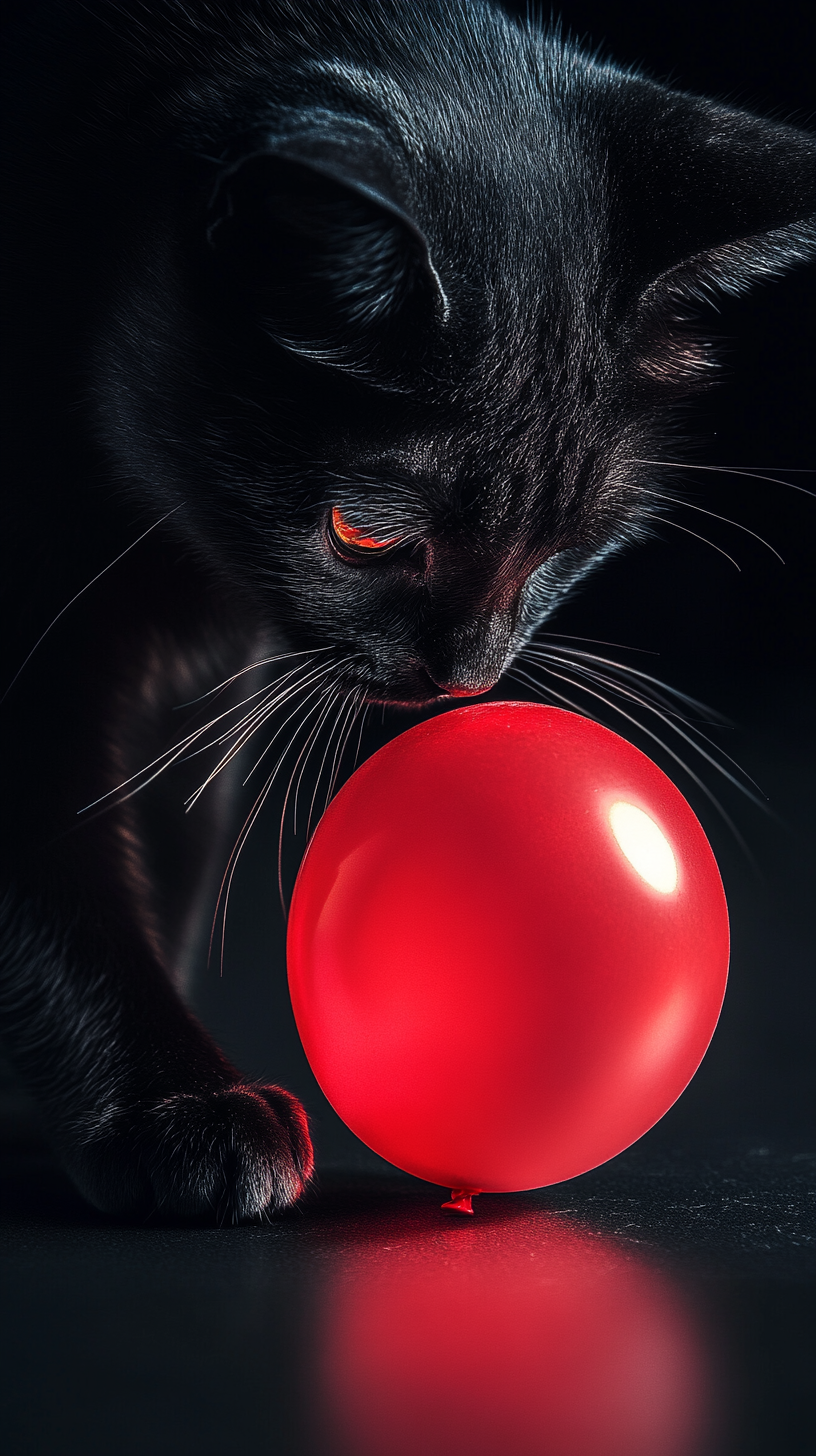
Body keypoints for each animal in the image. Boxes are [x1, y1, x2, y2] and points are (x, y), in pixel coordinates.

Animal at [3, 2, 810, 1217]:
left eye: (568, 542)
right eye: (365, 535)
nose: (467, 671)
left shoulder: (199, 666)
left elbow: (169, 845)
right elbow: (58, 874)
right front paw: (171, 1108)